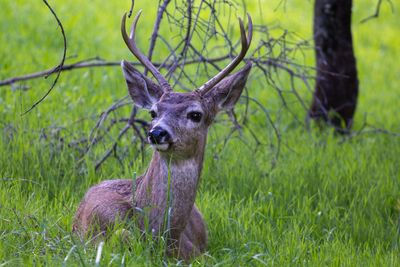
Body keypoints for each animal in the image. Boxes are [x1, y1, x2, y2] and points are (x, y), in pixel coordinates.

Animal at [72, 9, 253, 262]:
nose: (157, 132)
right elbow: (123, 236)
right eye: (153, 112)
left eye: (195, 114)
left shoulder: (198, 253)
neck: (165, 240)